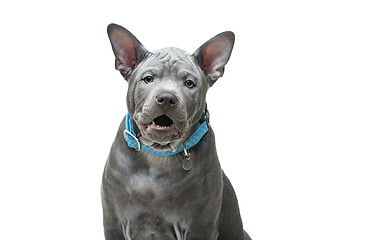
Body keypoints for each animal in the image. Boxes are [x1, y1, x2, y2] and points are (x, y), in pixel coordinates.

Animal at [101, 23, 251, 240]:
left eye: (189, 83)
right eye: (148, 79)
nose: (166, 98)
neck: (159, 155)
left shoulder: (200, 227)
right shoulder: (113, 223)